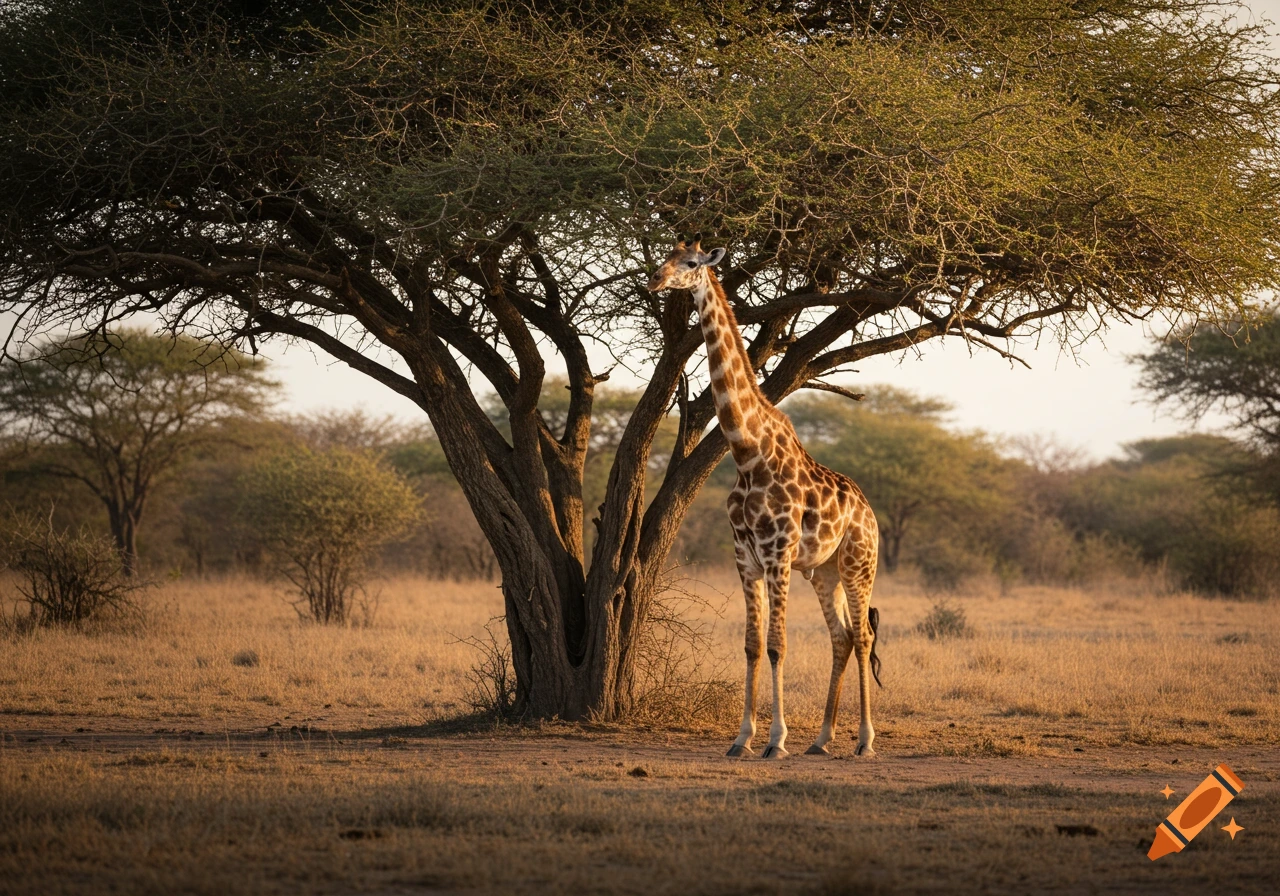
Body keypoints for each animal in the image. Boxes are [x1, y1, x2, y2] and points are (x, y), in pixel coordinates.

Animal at [648, 240, 882, 759]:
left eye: (689, 263)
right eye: (666, 254)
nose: (655, 280)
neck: (747, 452)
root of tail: (871, 514)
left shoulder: (778, 553)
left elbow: (778, 645)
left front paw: (776, 740)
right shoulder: (745, 555)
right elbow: (753, 645)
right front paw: (742, 738)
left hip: (859, 564)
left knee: (863, 636)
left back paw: (864, 741)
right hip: (823, 571)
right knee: (842, 638)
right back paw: (822, 739)